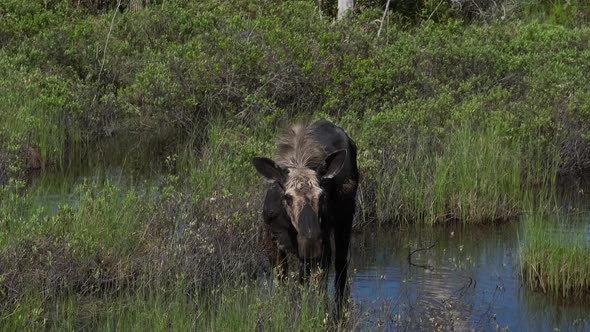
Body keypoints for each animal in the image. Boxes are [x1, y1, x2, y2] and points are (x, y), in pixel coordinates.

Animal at [251, 118, 358, 308]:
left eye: (322, 196)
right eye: (288, 197)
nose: (310, 238)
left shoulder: (320, 244)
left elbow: (312, 285)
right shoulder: (272, 238)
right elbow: (283, 280)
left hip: (345, 218)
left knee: (340, 265)